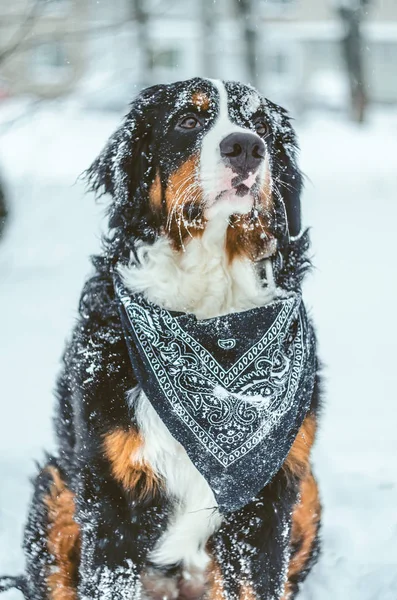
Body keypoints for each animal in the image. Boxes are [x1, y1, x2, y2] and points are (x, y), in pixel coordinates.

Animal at [0, 77, 320, 600]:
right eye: (187, 120)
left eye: (261, 126)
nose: (246, 148)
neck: (211, 313)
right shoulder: (111, 497)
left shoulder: (267, 501)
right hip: (55, 490)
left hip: (308, 491)